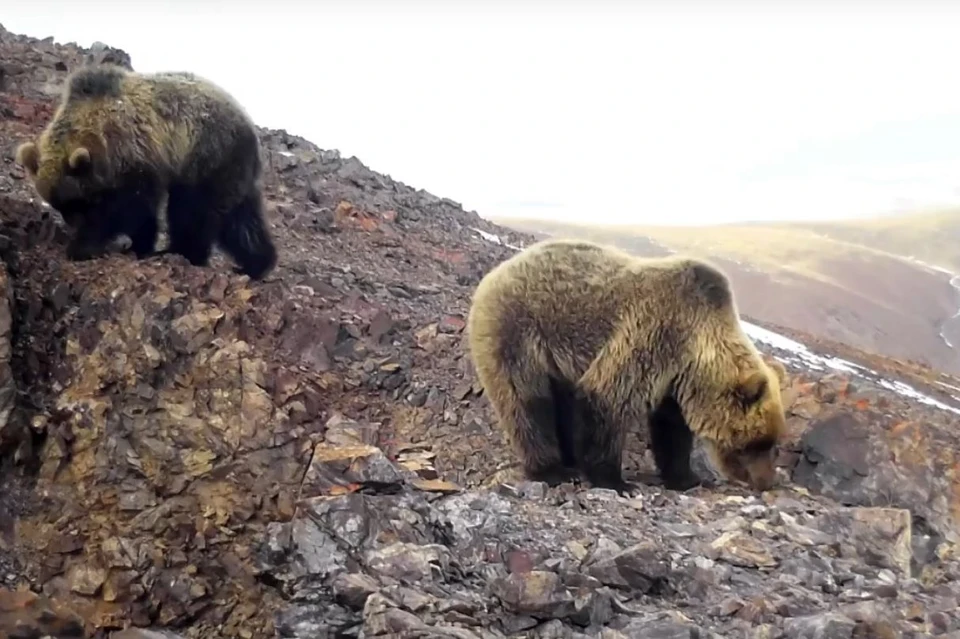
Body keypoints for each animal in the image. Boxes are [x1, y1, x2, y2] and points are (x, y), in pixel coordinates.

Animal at [15, 64, 278, 280]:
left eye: (76, 200)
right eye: (58, 204)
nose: (73, 223)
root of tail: (249, 125)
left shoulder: (136, 158)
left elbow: (130, 209)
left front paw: (85, 245)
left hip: (206, 156)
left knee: (193, 210)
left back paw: (182, 251)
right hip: (232, 171)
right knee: (241, 220)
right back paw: (256, 264)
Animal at [466, 240, 788, 496]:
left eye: (773, 443)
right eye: (757, 443)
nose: (766, 482)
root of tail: (494, 274)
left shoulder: (674, 380)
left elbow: (671, 431)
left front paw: (687, 477)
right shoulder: (656, 331)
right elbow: (608, 398)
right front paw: (617, 481)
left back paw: (570, 460)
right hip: (517, 330)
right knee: (526, 402)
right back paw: (553, 469)